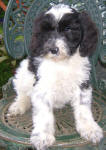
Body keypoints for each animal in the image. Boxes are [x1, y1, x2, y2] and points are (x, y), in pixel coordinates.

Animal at [8, 3, 102, 150]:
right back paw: (19, 106)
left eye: (68, 29)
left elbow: (83, 109)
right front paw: (43, 136)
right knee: (23, 93)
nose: (52, 49)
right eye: (47, 31)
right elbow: (43, 114)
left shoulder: (82, 84)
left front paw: (90, 129)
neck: (62, 63)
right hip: (24, 71)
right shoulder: (42, 87)